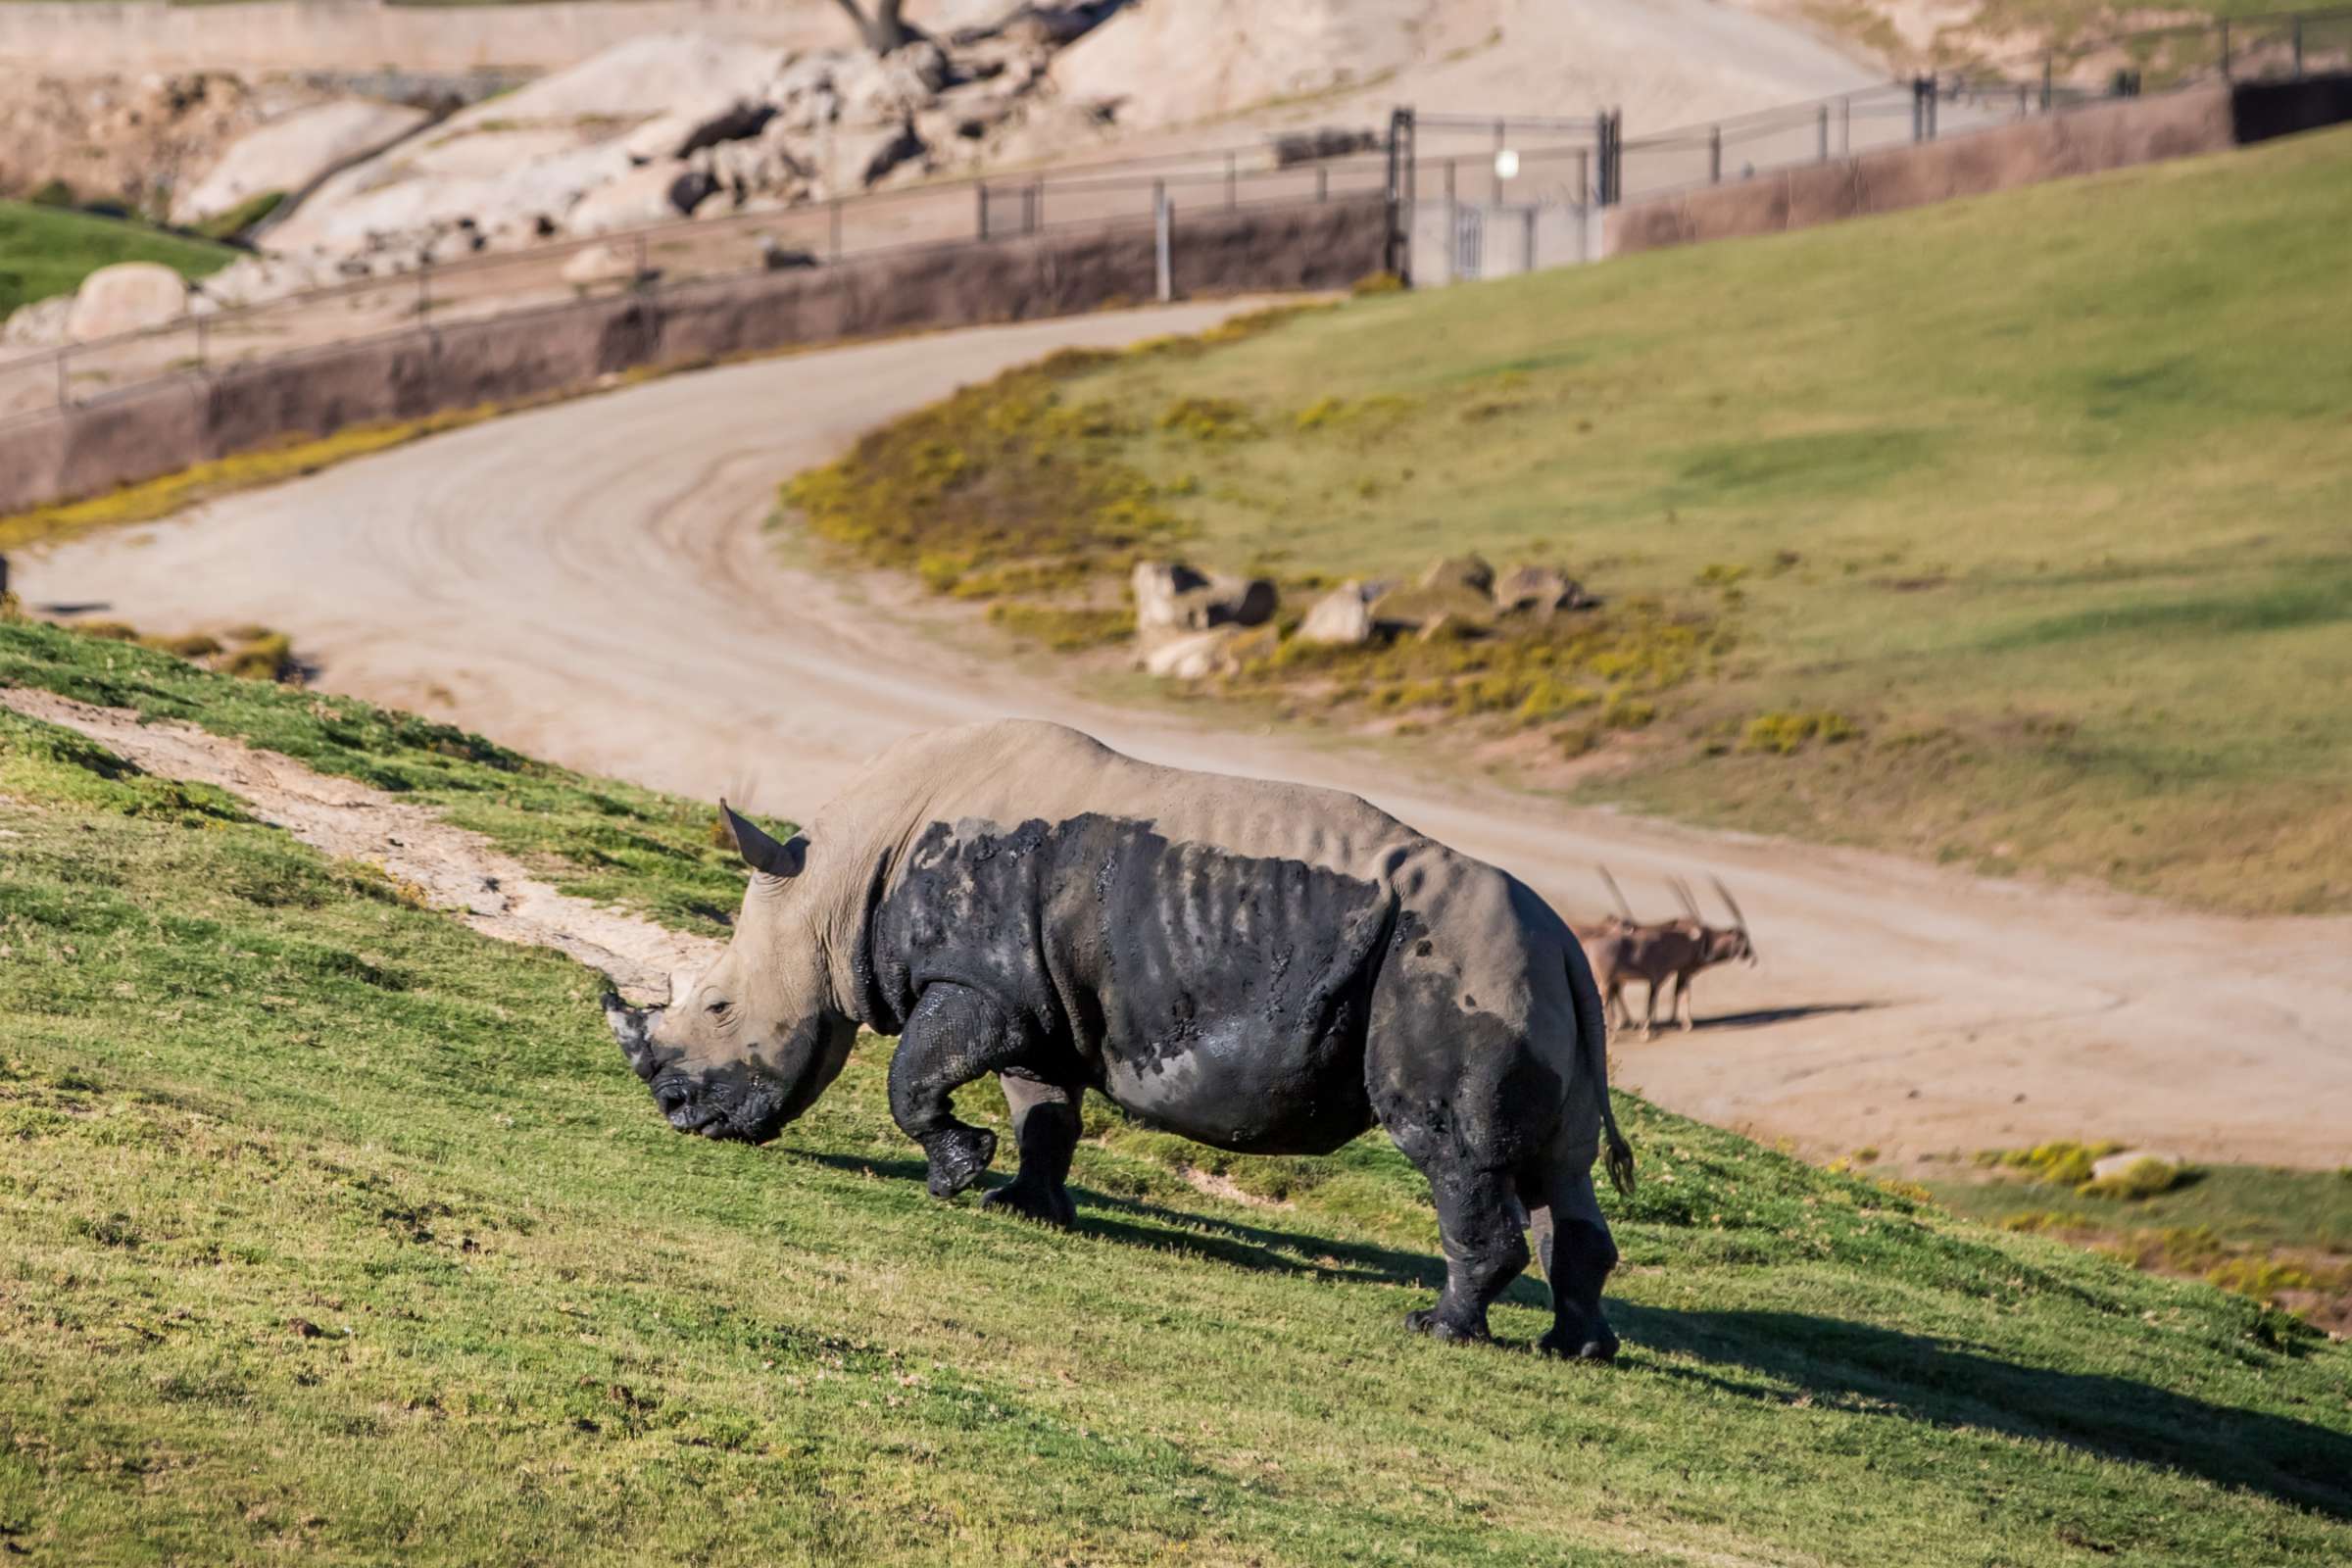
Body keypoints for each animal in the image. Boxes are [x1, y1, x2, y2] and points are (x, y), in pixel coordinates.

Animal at [1590, 879, 1759, 1034]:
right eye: (1744, 940)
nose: (1753, 959)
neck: (1702, 938)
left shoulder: (1681, 971)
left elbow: (1679, 993)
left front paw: (1676, 1021)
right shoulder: (1684, 970)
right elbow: (1681, 993)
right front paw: (1681, 1023)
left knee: (1615, 992)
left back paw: (1625, 1023)